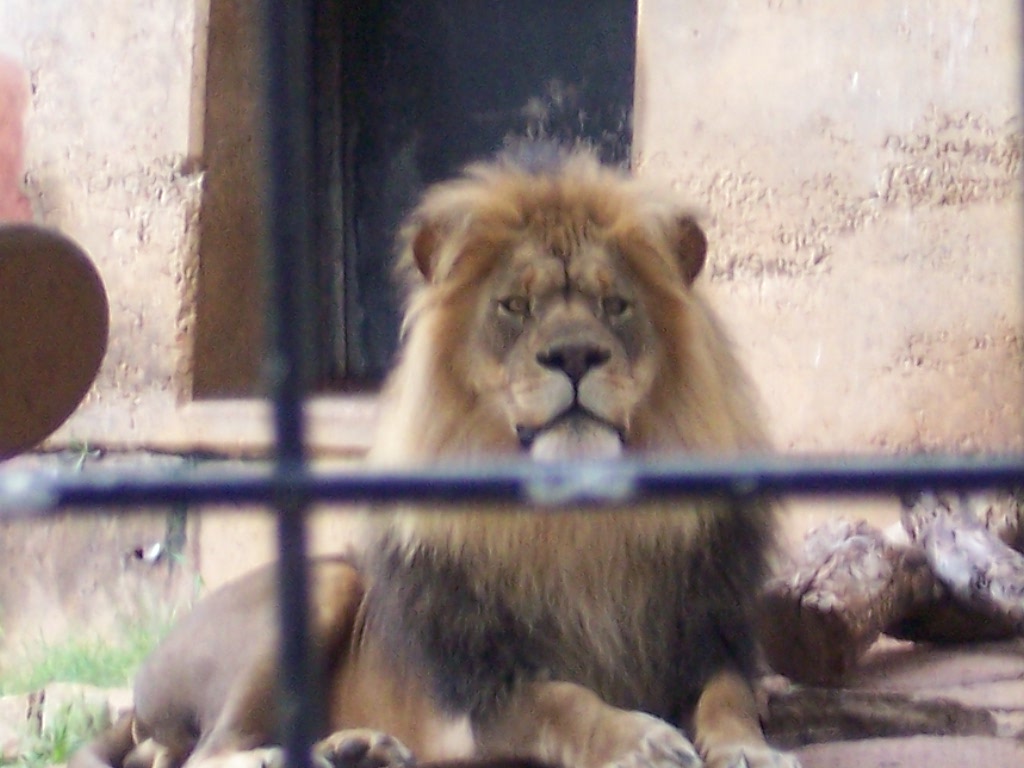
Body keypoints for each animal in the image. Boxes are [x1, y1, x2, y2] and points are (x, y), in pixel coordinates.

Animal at [71, 145, 798, 768]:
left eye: (615, 304)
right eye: (515, 305)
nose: (574, 355)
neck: (578, 526)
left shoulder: (712, 637)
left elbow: (729, 696)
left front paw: (747, 748)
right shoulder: (484, 691)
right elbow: (565, 701)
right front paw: (638, 738)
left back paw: (357, 747)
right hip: (322, 583)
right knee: (205, 752)